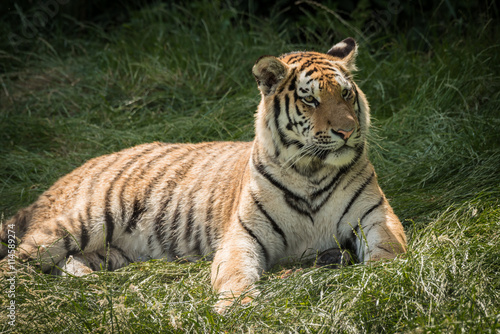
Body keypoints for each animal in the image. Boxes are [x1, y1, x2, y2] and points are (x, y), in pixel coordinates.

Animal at [0, 38, 406, 314]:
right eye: (310, 99)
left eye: (347, 94)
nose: (347, 131)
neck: (311, 170)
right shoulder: (243, 234)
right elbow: (236, 273)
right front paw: (238, 308)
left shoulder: (375, 216)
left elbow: (389, 249)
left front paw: (382, 279)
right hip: (84, 221)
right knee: (17, 261)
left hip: (109, 252)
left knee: (71, 265)